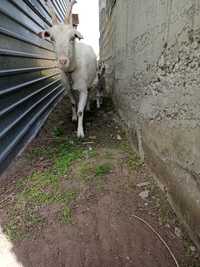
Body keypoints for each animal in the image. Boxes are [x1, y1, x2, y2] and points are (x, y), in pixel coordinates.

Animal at [38, 0, 97, 138]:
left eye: (72, 37)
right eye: (52, 38)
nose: (63, 61)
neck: (71, 71)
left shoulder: (83, 89)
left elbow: (81, 110)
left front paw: (80, 133)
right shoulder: (67, 89)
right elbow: (73, 103)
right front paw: (74, 118)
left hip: (91, 82)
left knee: (90, 93)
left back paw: (88, 108)